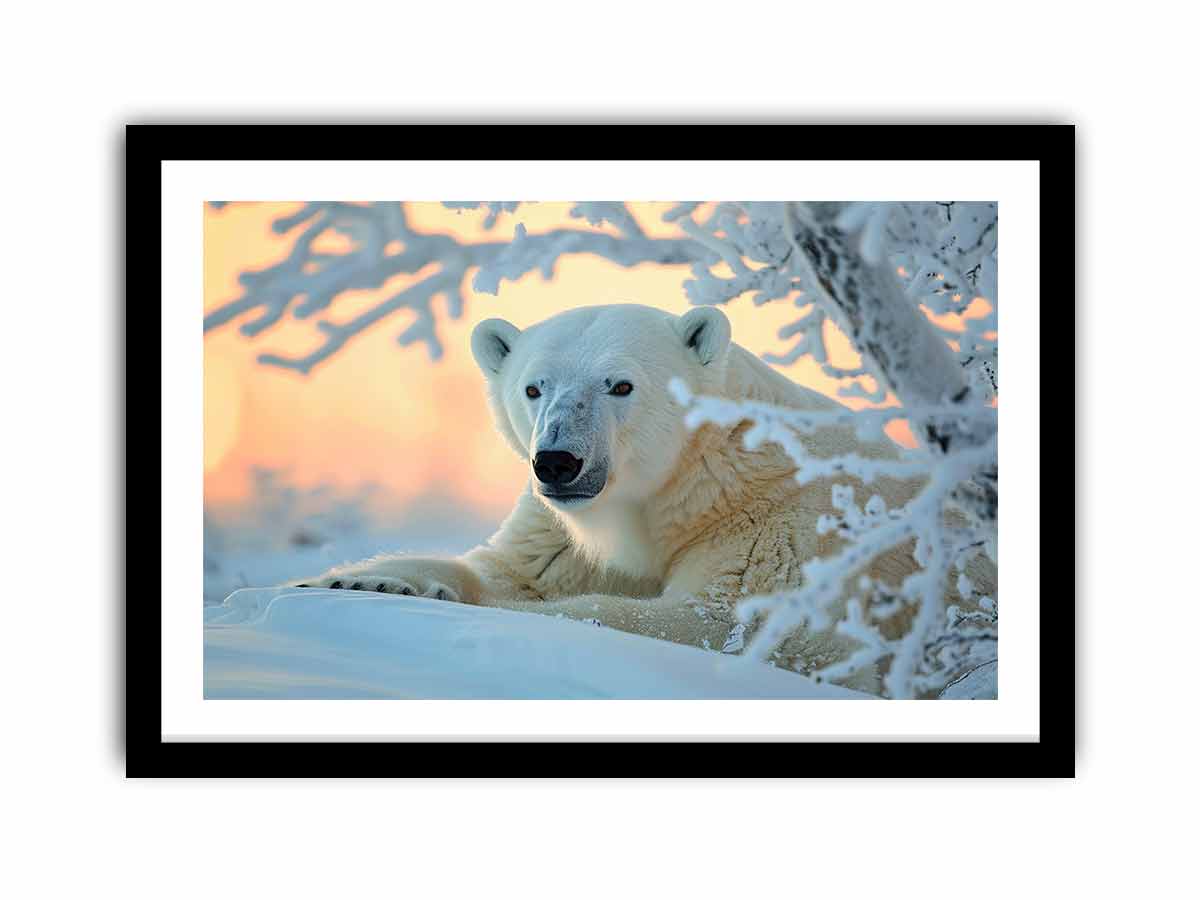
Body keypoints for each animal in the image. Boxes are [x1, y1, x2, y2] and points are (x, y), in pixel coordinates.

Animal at [293, 303, 995, 694]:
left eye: (620, 384)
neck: (689, 484)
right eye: (533, 387)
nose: (558, 461)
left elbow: (737, 627)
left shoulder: (782, 522)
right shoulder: (563, 530)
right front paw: (361, 581)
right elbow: (510, 569)